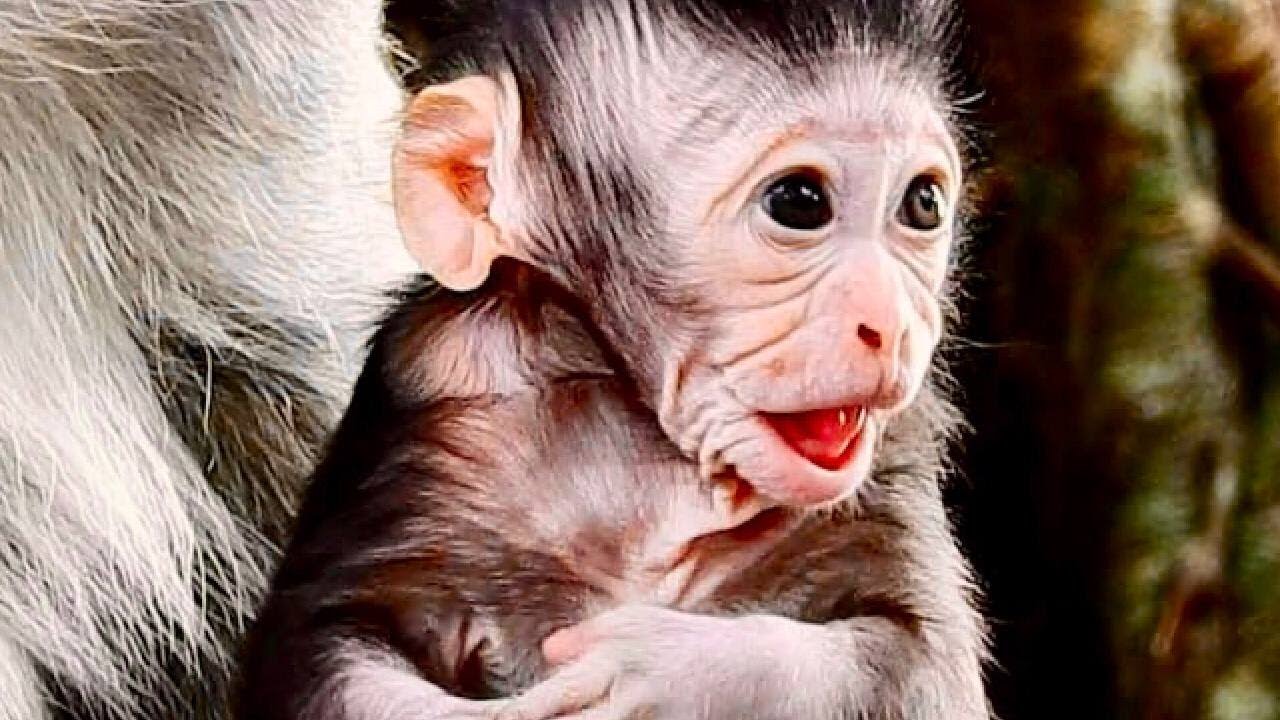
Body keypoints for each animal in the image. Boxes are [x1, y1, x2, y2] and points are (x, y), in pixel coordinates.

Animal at [240, 1, 988, 718]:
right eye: (799, 202)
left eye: (922, 203)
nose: (892, 325)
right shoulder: (436, 408)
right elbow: (326, 647)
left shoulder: (894, 465)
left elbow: (922, 665)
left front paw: (674, 671)